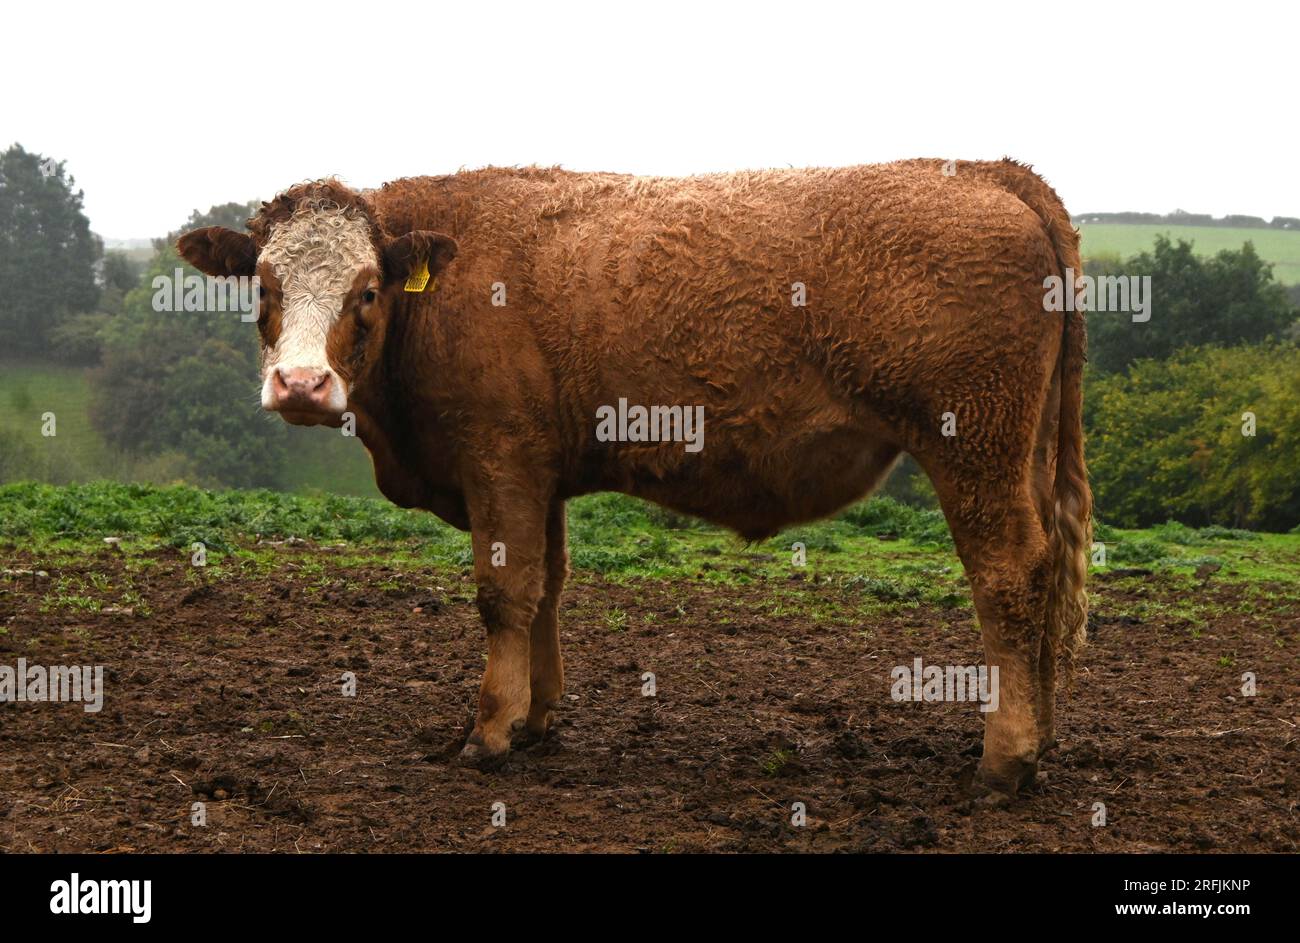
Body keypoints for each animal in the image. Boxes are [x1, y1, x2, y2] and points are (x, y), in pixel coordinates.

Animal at [178, 159, 1092, 796]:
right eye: (263, 284)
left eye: (366, 290)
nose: (301, 385)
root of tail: (984, 170)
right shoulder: (538, 472)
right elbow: (546, 588)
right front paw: (537, 715)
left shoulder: (498, 460)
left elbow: (502, 594)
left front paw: (489, 731)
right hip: (1024, 450)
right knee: (1048, 571)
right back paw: (1044, 738)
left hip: (975, 444)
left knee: (1009, 575)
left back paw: (1006, 759)